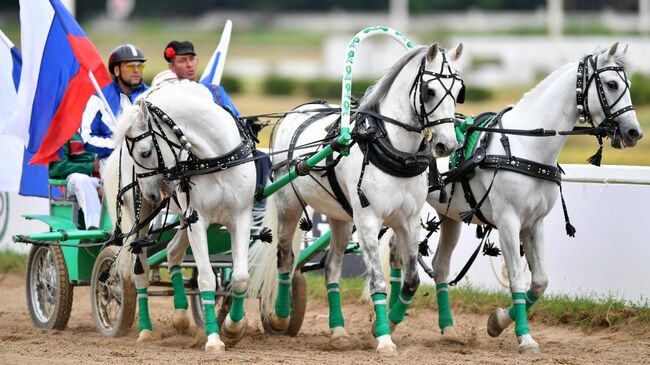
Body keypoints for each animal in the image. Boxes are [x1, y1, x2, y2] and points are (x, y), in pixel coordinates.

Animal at [107, 81, 256, 352]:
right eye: (136, 155)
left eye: (145, 153)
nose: (152, 193)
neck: (216, 160)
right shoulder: (198, 221)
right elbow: (206, 279)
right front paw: (213, 338)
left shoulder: (241, 217)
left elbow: (240, 277)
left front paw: (233, 328)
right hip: (142, 216)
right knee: (140, 271)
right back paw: (145, 330)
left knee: (173, 252)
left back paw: (180, 316)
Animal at [247, 43, 460, 352]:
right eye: (429, 91)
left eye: (459, 90)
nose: (447, 145)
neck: (390, 147)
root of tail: (295, 112)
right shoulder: (369, 221)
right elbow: (378, 282)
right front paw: (384, 338)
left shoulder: (408, 221)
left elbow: (410, 281)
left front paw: (384, 325)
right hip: (289, 206)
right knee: (285, 259)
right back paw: (279, 317)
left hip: (341, 218)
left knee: (331, 268)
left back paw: (337, 329)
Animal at [422, 43, 640, 352]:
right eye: (611, 84)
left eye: (628, 84)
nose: (634, 132)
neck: (525, 146)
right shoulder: (508, 222)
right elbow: (516, 279)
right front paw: (524, 337)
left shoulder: (533, 224)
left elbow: (539, 283)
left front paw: (498, 321)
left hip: (448, 216)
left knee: (438, 266)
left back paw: (443, 326)